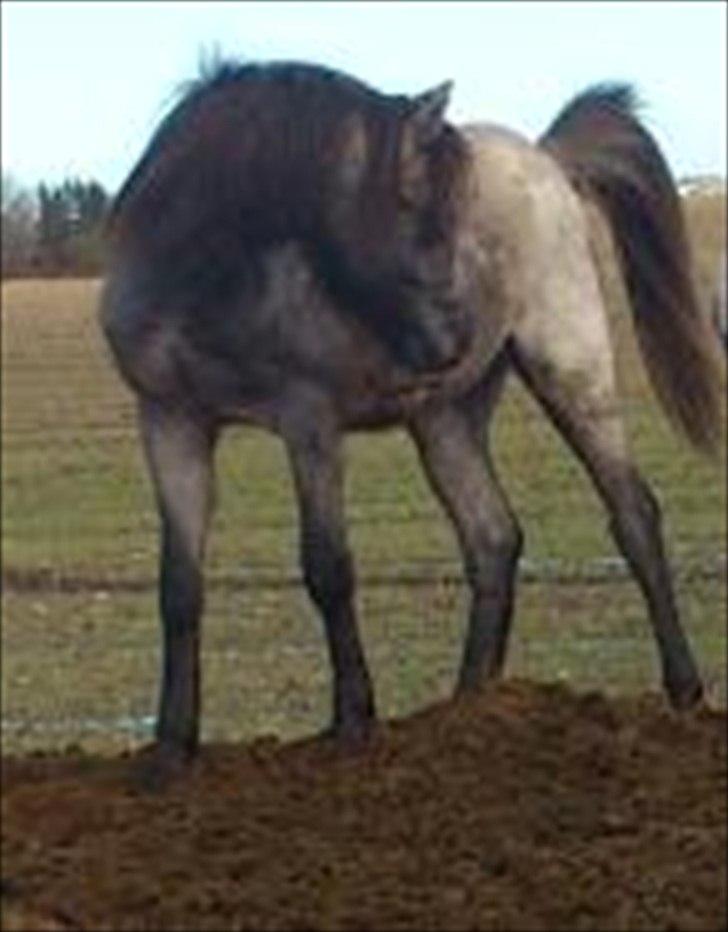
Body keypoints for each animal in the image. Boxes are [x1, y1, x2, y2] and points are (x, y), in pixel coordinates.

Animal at [101, 62, 725, 783]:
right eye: (423, 218)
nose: (453, 340)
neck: (203, 274)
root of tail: (547, 158)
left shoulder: (307, 423)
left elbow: (327, 568)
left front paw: (352, 722)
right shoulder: (169, 423)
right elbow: (179, 586)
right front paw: (171, 748)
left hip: (570, 369)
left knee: (632, 512)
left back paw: (683, 691)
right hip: (444, 420)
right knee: (492, 537)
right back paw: (469, 705)